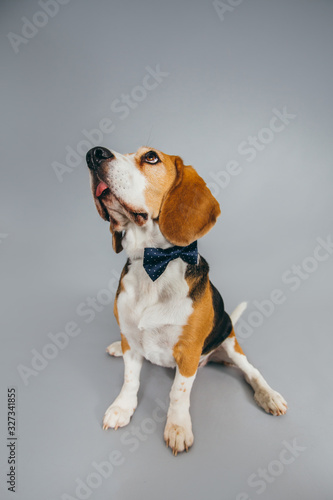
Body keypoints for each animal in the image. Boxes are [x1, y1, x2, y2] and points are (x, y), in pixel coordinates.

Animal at [85, 146, 286, 456]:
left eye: (151, 157)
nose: (94, 154)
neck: (152, 264)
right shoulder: (130, 335)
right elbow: (130, 380)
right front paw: (121, 408)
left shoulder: (188, 351)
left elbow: (177, 393)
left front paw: (177, 427)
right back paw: (116, 347)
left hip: (231, 344)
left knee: (251, 372)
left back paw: (269, 395)